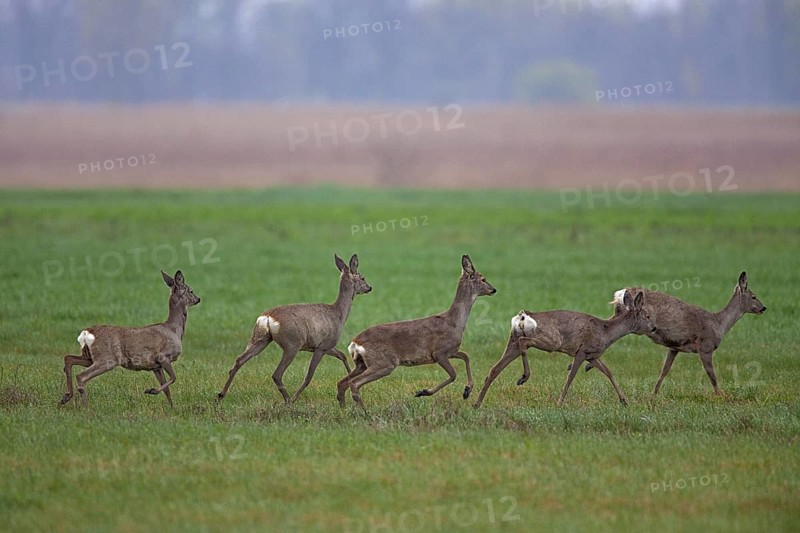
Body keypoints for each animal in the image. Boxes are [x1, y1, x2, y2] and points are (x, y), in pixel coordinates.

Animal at [59, 270, 201, 408]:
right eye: (191, 291)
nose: (198, 299)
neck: (174, 330)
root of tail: (87, 332)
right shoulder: (163, 355)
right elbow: (174, 378)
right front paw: (151, 390)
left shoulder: (156, 366)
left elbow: (167, 389)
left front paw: (172, 408)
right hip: (107, 358)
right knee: (81, 376)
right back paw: (86, 408)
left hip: (90, 357)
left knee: (69, 358)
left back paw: (66, 397)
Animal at [216, 254, 371, 404]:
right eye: (362, 277)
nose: (369, 288)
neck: (339, 314)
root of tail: (267, 317)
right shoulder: (323, 346)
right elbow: (308, 376)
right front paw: (295, 397)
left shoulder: (323, 346)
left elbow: (342, 356)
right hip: (291, 344)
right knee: (277, 374)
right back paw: (289, 400)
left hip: (260, 339)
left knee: (238, 361)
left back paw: (220, 395)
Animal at [337, 255, 496, 412]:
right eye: (483, 279)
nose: (494, 290)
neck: (455, 322)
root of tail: (354, 342)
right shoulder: (439, 352)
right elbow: (453, 375)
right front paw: (423, 392)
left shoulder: (452, 350)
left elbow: (466, 356)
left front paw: (467, 390)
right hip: (384, 362)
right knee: (353, 383)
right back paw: (365, 412)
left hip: (362, 364)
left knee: (342, 383)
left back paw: (345, 409)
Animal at [473, 290, 654, 408]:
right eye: (647, 316)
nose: (653, 328)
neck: (606, 332)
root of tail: (523, 316)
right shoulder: (582, 351)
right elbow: (570, 377)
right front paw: (559, 403)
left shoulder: (592, 355)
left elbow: (609, 372)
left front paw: (624, 401)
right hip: (551, 340)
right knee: (524, 342)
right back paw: (524, 377)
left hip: (513, 341)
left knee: (494, 369)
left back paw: (477, 403)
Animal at [609, 271, 766, 396]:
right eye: (754, 296)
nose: (764, 308)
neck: (719, 324)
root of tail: (620, 293)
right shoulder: (706, 347)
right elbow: (711, 374)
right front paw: (721, 395)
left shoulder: (674, 347)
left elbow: (664, 370)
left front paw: (653, 394)